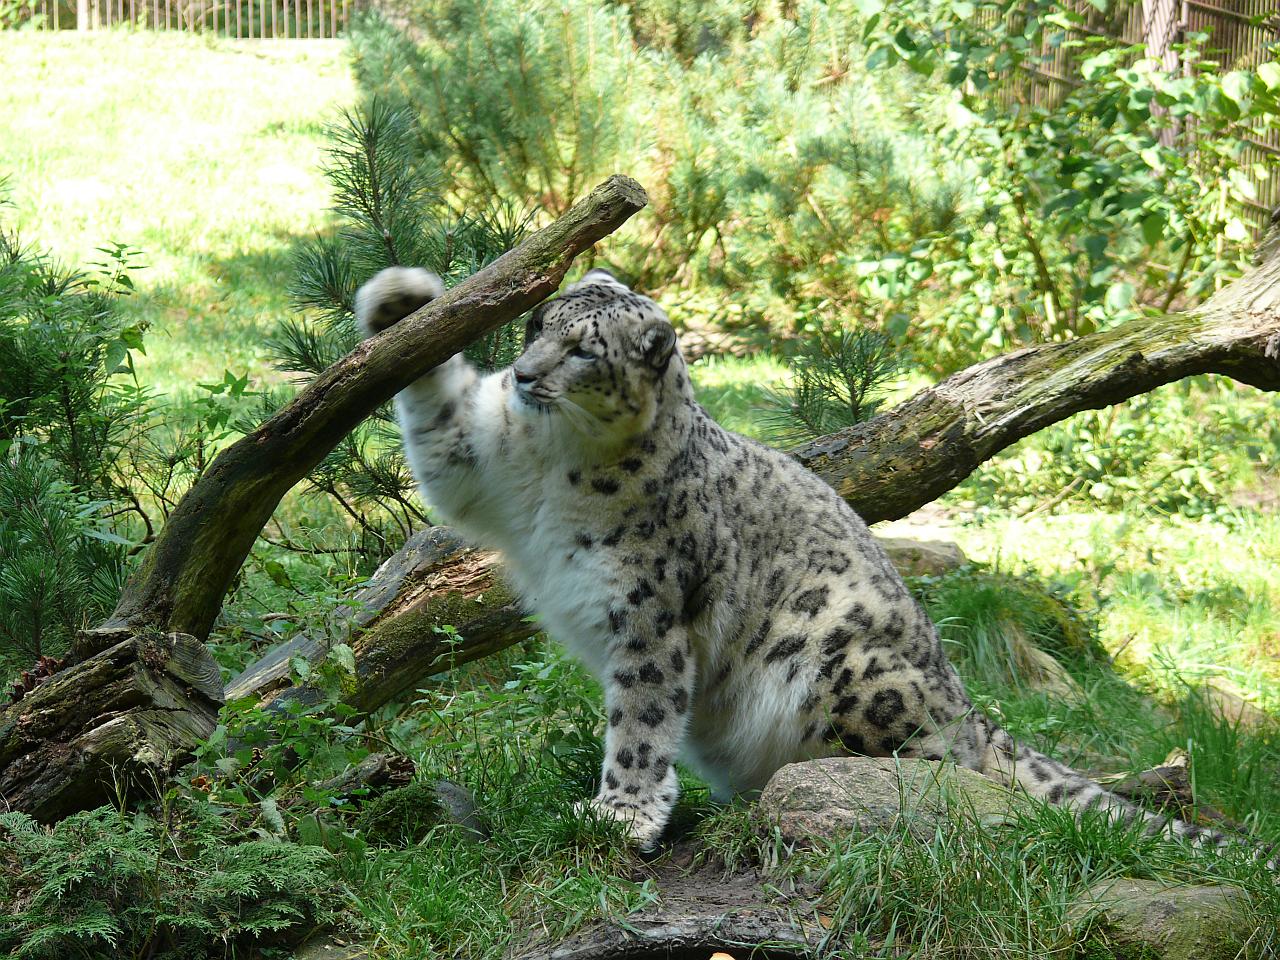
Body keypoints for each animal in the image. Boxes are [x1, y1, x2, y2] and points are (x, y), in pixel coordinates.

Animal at [360, 263, 1259, 855]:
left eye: (583, 350)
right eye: (536, 325)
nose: (520, 374)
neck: (553, 462)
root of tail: (970, 704)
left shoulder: (652, 614)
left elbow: (642, 717)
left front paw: (622, 813)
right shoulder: (481, 463)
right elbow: (438, 420)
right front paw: (399, 301)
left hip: (846, 664)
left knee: (958, 769)